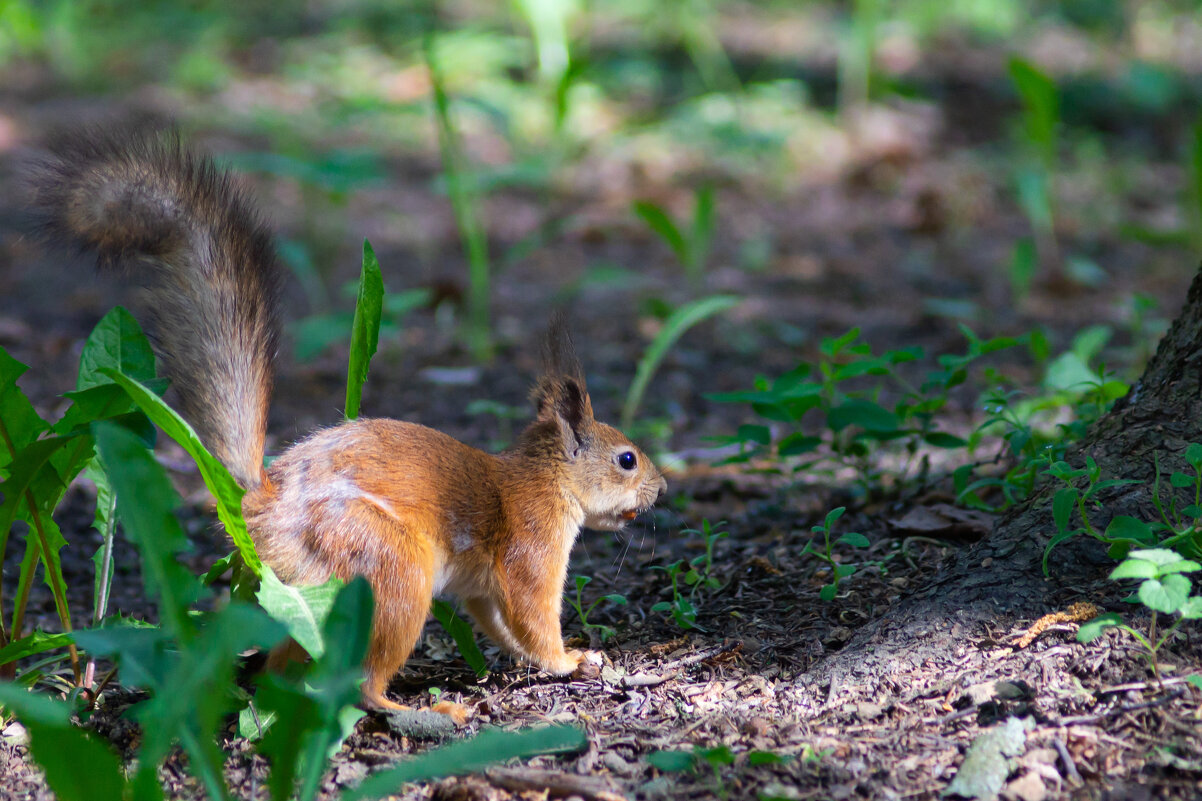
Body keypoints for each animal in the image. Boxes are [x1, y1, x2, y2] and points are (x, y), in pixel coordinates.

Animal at [25, 128, 668, 707]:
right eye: (627, 459)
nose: (662, 488)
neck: (546, 478)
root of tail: (261, 508)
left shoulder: (484, 590)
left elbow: (498, 622)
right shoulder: (530, 546)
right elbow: (532, 614)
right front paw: (570, 660)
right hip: (389, 570)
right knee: (364, 680)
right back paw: (418, 710)